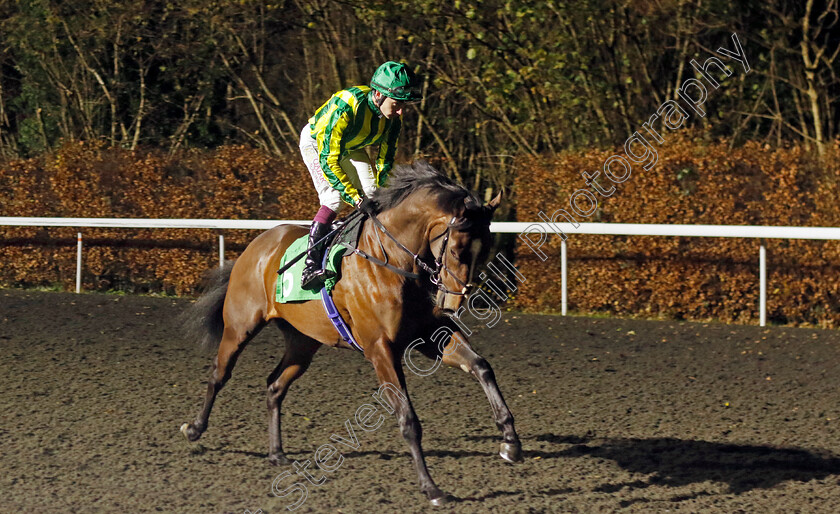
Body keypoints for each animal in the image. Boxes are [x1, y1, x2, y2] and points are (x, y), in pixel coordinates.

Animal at [180, 161, 520, 504]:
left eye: (485, 250)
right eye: (458, 251)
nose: (453, 303)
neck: (392, 261)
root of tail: (259, 244)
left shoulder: (430, 334)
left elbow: (480, 366)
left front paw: (510, 441)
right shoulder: (380, 348)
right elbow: (408, 418)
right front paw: (431, 487)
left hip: (303, 342)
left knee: (275, 385)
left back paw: (276, 452)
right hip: (240, 327)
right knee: (219, 374)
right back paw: (195, 428)